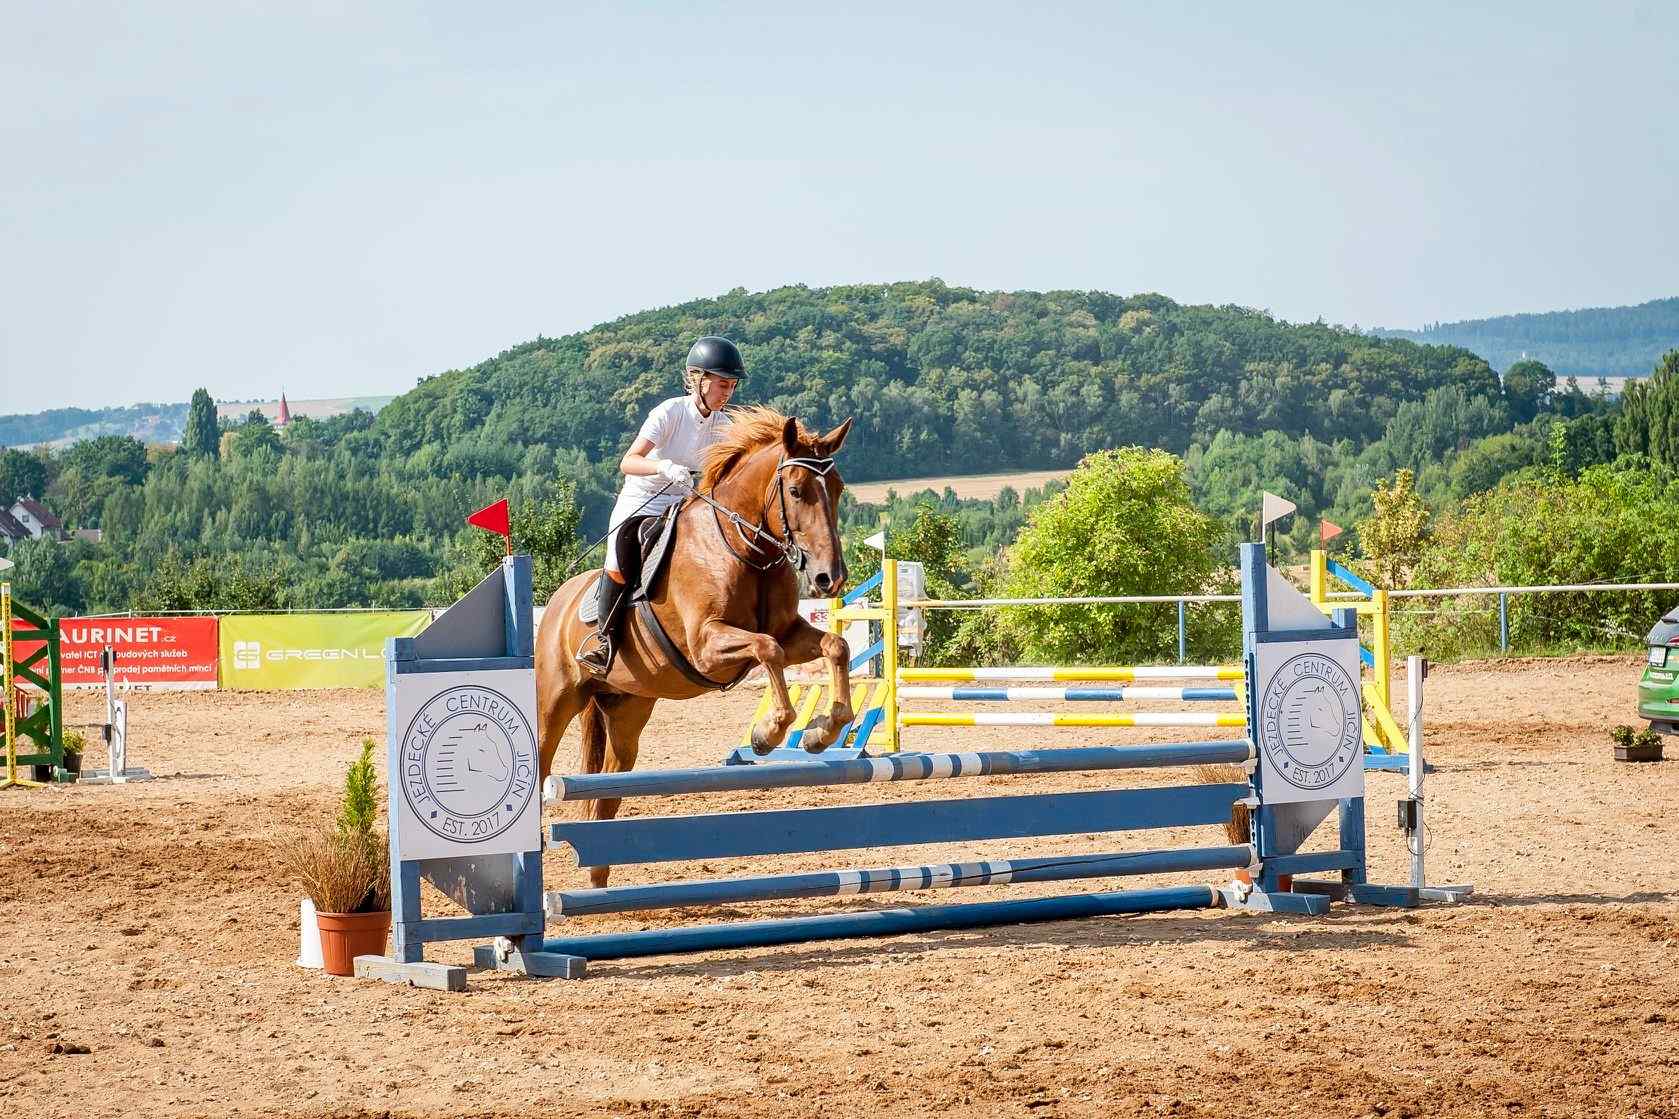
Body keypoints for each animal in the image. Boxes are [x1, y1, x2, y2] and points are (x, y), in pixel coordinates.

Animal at [533, 404, 852, 887]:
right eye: (796, 491)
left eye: (837, 489)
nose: (829, 578)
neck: (744, 547)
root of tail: (558, 600)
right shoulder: (707, 644)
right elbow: (767, 650)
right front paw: (767, 733)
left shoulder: (789, 632)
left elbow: (835, 645)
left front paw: (822, 732)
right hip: (556, 700)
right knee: (540, 763)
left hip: (626, 711)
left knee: (607, 787)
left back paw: (598, 878)